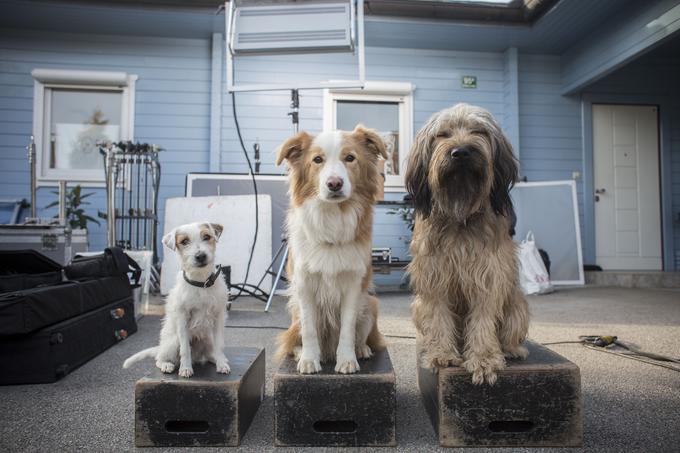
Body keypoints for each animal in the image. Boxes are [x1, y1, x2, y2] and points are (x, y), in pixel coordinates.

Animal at [121, 221, 230, 376]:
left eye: (207, 237)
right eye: (184, 241)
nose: (200, 256)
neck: (201, 283)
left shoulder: (219, 317)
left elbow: (219, 345)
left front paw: (221, 364)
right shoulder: (182, 319)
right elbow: (185, 349)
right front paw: (185, 368)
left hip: (207, 338)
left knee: (210, 354)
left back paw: (217, 359)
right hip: (172, 342)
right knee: (160, 359)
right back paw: (167, 365)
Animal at [274, 125, 386, 372]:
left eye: (350, 158)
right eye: (317, 160)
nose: (334, 183)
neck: (333, 217)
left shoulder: (354, 285)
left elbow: (347, 328)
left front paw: (347, 360)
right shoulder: (304, 285)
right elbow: (309, 329)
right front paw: (308, 360)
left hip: (370, 305)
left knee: (361, 335)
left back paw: (362, 349)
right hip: (294, 314)